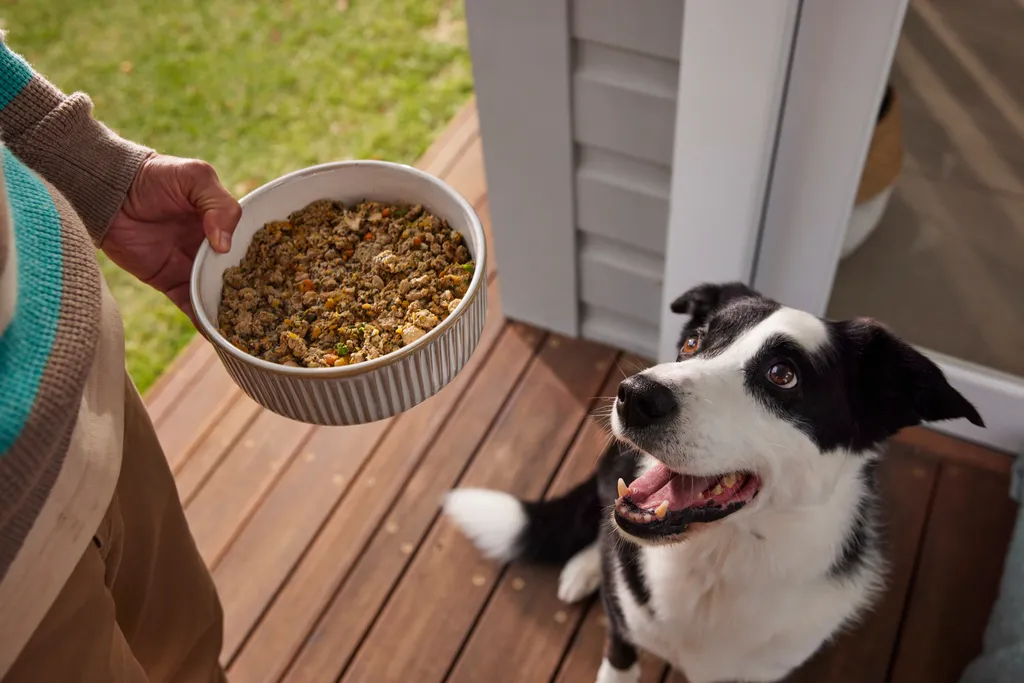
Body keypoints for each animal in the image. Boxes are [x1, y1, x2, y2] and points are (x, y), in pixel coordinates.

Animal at [442, 282, 983, 683]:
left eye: (782, 374)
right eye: (691, 343)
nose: (634, 395)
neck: (717, 560)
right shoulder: (623, 630)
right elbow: (620, 656)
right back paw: (585, 567)